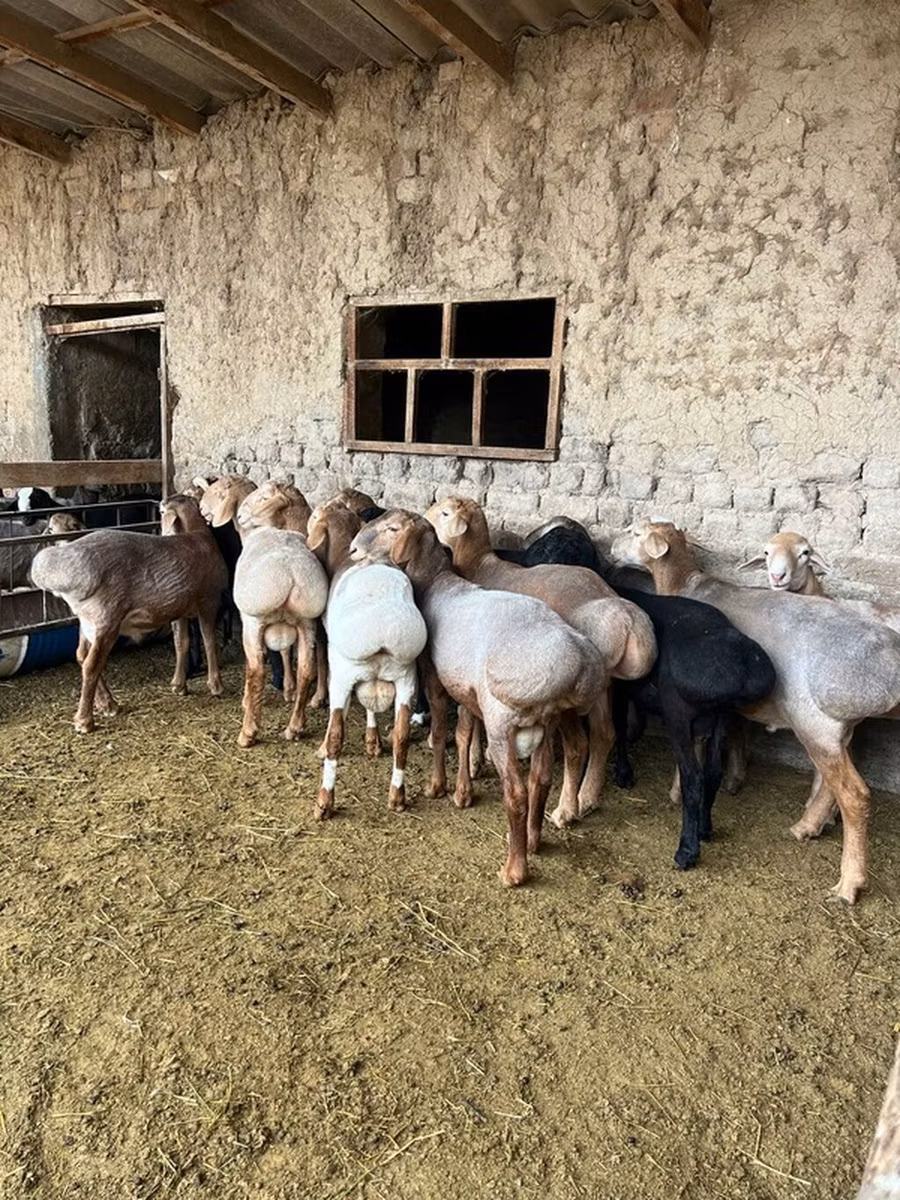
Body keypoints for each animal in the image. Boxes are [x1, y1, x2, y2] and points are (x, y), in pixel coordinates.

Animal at [31, 494, 228, 733]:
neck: (196, 533)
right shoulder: (209, 600)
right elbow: (209, 642)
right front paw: (216, 685)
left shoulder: (178, 608)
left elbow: (181, 643)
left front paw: (178, 685)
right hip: (106, 617)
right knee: (91, 664)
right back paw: (84, 720)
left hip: (87, 620)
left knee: (81, 655)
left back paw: (108, 704)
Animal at [306, 500, 427, 816]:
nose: (355, 549)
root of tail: (385, 627)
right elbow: (371, 708)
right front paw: (373, 742)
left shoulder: (340, 670)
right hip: (407, 677)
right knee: (401, 737)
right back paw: (397, 797)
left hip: (345, 674)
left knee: (337, 735)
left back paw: (325, 801)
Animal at [350, 510, 607, 885]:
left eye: (392, 529)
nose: (352, 549)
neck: (437, 583)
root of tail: (578, 658)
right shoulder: (466, 689)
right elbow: (464, 734)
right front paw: (463, 791)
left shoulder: (436, 680)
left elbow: (441, 732)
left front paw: (437, 786)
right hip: (547, 721)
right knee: (541, 779)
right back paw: (533, 841)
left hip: (503, 722)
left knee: (516, 793)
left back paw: (514, 869)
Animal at [423, 496, 657, 824]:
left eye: (444, 513)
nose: (423, 518)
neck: (478, 565)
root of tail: (628, 620)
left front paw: (473, 761)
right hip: (603, 685)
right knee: (604, 734)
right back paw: (588, 798)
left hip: (570, 697)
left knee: (578, 746)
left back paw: (565, 810)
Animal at [609, 519, 900, 902]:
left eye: (636, 532)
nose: (611, 549)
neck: (685, 584)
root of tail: (890, 656)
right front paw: (732, 781)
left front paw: (677, 794)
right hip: (834, 728)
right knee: (833, 784)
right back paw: (808, 826)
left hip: (816, 725)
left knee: (854, 795)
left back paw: (849, 882)